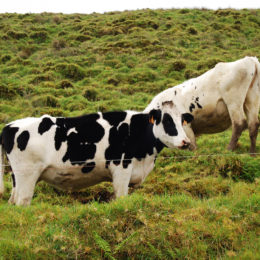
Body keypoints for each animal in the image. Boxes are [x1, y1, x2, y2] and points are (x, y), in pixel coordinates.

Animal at [0, 101, 193, 205]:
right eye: (167, 120)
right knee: (22, 202)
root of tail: (9, 125)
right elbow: (121, 198)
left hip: (17, 178)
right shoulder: (121, 169)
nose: (186, 142)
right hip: (27, 175)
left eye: (182, 120)